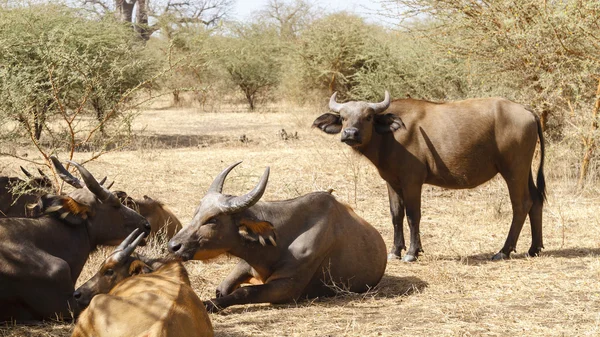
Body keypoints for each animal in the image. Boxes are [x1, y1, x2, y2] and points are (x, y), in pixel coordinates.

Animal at [166, 161, 386, 312]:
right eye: (196, 213)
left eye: (212, 219)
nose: (174, 246)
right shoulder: (246, 265)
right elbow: (223, 288)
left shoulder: (285, 287)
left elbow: (244, 291)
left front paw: (208, 304)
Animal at [312, 91, 548, 260]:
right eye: (343, 118)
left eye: (368, 117)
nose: (350, 134)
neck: (390, 137)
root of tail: (527, 111)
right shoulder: (392, 182)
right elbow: (396, 215)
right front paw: (395, 250)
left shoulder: (412, 181)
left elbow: (412, 215)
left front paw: (411, 252)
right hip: (524, 169)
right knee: (536, 200)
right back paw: (534, 248)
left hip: (513, 169)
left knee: (521, 204)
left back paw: (504, 250)